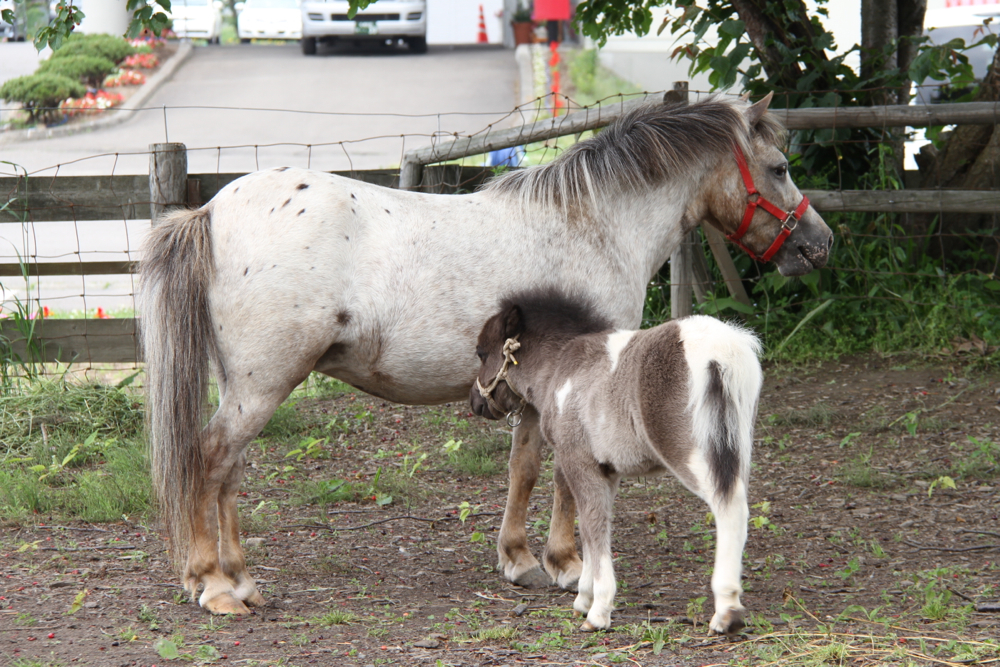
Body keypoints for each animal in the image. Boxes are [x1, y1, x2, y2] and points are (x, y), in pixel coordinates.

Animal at [472, 294, 760, 636]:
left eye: (481, 352)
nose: (475, 402)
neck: (561, 369)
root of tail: (721, 351)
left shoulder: (578, 461)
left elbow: (593, 525)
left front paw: (598, 610)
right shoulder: (606, 470)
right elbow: (592, 525)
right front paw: (584, 596)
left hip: (693, 454)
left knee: (728, 508)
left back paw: (727, 611)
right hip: (737, 449)